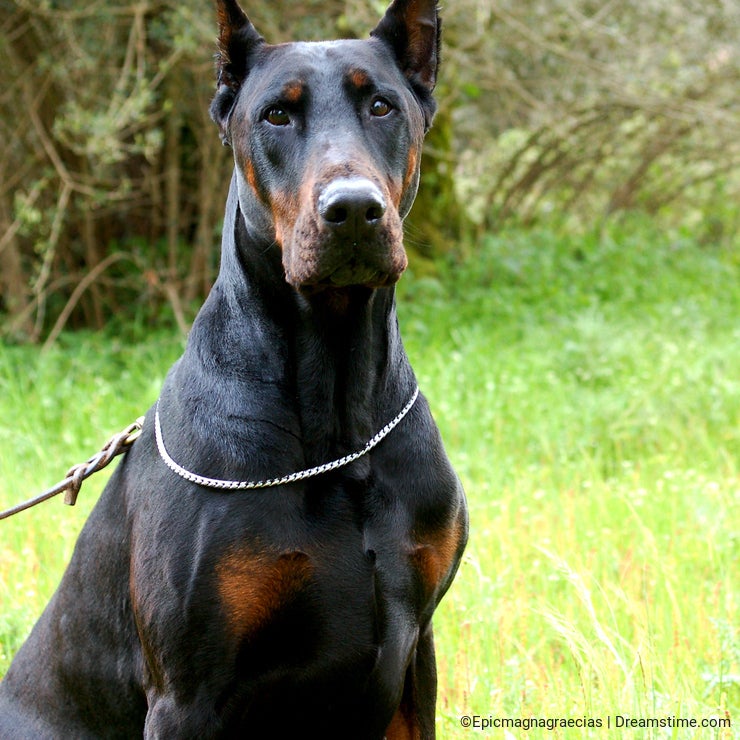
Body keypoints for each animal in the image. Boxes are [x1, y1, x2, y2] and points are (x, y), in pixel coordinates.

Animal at [0, 2, 468, 736]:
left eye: (382, 106)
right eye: (276, 115)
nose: (353, 209)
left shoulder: (415, 650)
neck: (337, 419)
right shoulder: (187, 690)